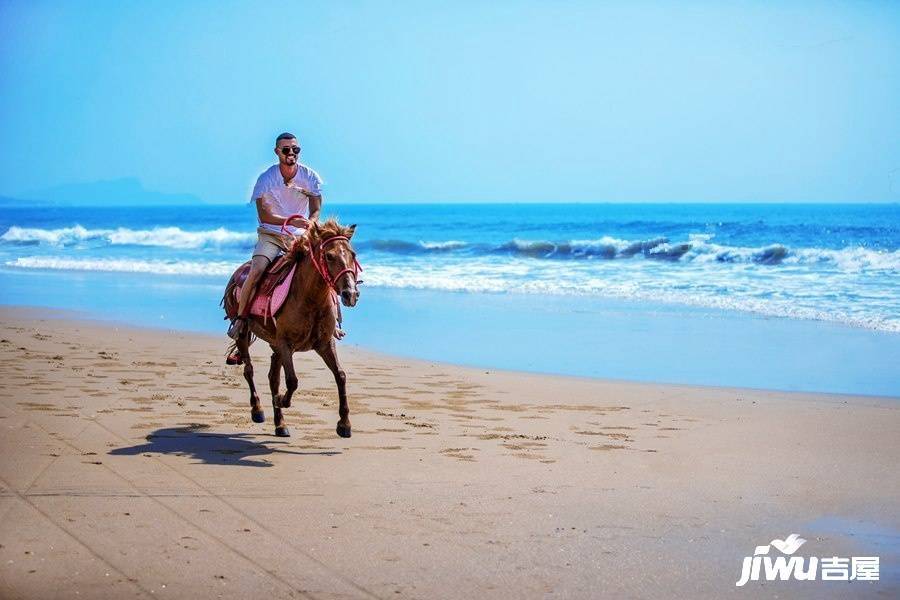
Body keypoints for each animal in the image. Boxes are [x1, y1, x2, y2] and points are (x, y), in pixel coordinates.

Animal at [223, 218, 360, 438]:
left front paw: (344, 424)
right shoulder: (286, 343)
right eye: (329, 256)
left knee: (272, 378)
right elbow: (293, 380)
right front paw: (281, 400)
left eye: (352, 254)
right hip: (246, 335)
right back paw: (258, 410)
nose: (351, 294)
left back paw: (280, 425)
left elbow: (340, 376)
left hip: (275, 345)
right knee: (249, 370)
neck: (310, 299)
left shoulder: (325, 343)